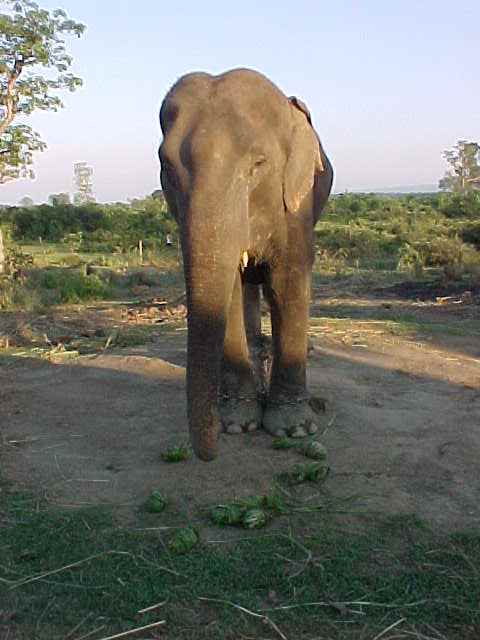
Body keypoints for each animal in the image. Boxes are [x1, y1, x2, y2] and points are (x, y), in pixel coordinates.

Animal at [159, 69, 332, 460]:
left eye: (258, 164)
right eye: (167, 166)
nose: (210, 451)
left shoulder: (295, 203)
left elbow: (288, 282)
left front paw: (295, 429)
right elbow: (233, 289)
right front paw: (237, 424)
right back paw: (256, 349)